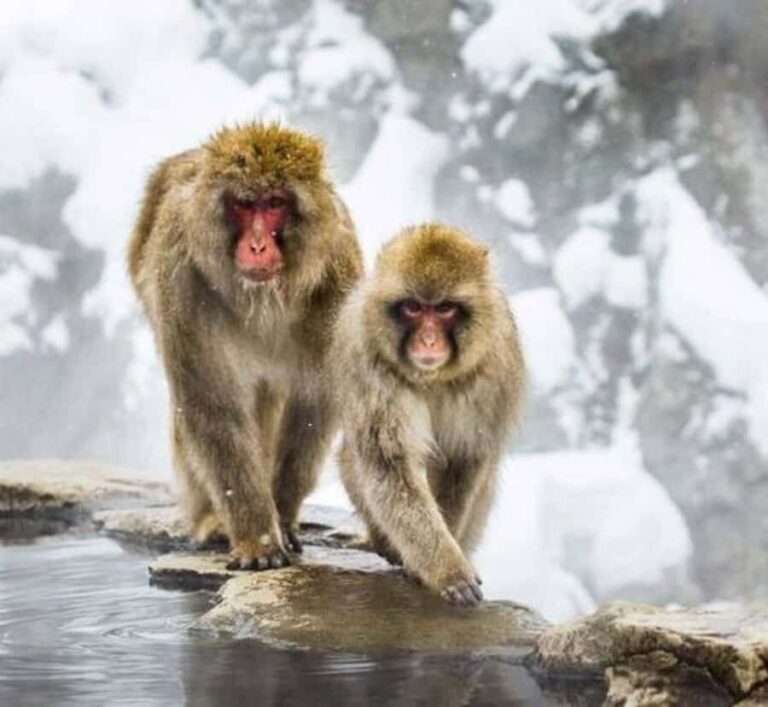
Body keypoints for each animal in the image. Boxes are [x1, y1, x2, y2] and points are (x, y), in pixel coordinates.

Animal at [128, 123, 363, 570]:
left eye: (274, 204)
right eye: (243, 204)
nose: (256, 246)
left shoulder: (336, 281)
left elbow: (315, 402)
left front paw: (281, 515)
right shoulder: (182, 281)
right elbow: (213, 405)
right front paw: (258, 537)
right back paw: (213, 521)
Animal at [332, 223, 525, 607]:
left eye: (445, 309)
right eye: (413, 307)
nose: (429, 341)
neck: (433, 377)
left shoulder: (493, 369)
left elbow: (463, 461)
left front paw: (451, 562)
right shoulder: (369, 363)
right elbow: (390, 468)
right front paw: (447, 570)